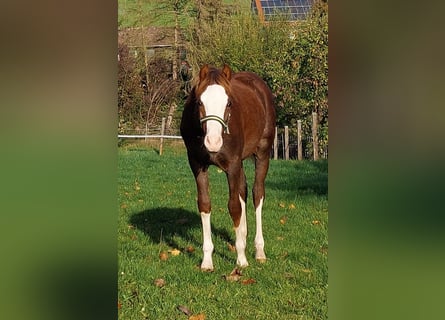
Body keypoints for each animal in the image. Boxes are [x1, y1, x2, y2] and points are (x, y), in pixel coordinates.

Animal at [180, 65, 274, 270]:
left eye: (229, 103)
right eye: (200, 101)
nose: (213, 142)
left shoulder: (232, 165)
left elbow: (234, 207)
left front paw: (241, 259)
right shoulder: (197, 165)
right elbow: (205, 204)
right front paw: (207, 260)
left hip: (262, 153)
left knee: (257, 194)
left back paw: (259, 250)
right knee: (243, 190)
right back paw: (243, 237)